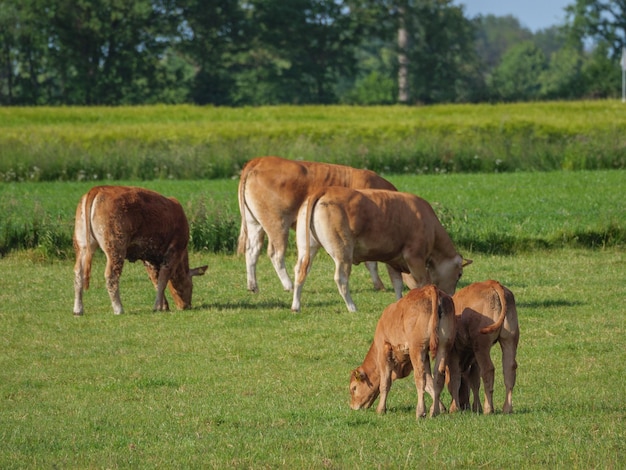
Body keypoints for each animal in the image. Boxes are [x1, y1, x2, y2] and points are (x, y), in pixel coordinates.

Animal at [72, 185, 206, 316]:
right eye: (192, 284)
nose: (186, 306)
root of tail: (98, 188)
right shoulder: (174, 251)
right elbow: (163, 278)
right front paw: (158, 306)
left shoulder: (148, 257)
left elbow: (155, 280)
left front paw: (163, 306)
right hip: (116, 247)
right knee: (111, 276)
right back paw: (119, 309)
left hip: (82, 246)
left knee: (79, 273)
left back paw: (78, 310)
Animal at [235, 156, 394, 292]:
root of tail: (260, 160)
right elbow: (371, 262)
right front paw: (379, 285)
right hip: (277, 223)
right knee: (275, 253)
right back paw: (289, 286)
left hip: (254, 223)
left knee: (252, 250)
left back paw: (253, 286)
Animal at [290, 187, 470, 312]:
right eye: (459, 274)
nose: (451, 296)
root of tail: (326, 189)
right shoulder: (414, 257)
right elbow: (423, 282)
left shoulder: (393, 259)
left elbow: (397, 283)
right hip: (343, 251)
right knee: (340, 278)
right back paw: (352, 307)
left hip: (307, 247)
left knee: (300, 270)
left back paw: (295, 305)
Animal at [346, 284, 454, 416]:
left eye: (354, 388)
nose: (352, 407)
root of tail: (429, 289)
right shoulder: (424, 356)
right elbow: (430, 383)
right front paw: (441, 408)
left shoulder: (384, 349)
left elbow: (385, 382)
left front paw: (380, 409)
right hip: (444, 345)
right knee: (438, 377)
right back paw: (434, 411)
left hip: (417, 348)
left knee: (420, 378)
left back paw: (420, 412)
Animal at [446, 280, 520, 414]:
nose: (464, 405)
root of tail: (490, 283)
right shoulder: (474, 359)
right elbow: (474, 381)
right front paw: (476, 407)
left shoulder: (453, 354)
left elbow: (455, 379)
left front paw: (454, 408)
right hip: (509, 339)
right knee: (509, 369)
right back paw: (507, 408)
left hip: (482, 345)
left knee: (488, 369)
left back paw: (488, 409)